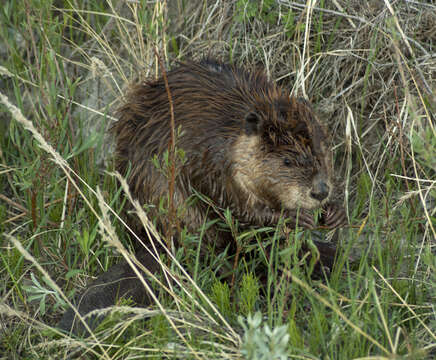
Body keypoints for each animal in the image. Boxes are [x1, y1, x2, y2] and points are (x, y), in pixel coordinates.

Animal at [58, 59, 346, 334]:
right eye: (286, 161)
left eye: (322, 150)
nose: (320, 191)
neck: (231, 132)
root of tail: (149, 243)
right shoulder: (211, 162)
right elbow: (234, 206)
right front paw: (295, 218)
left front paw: (334, 212)